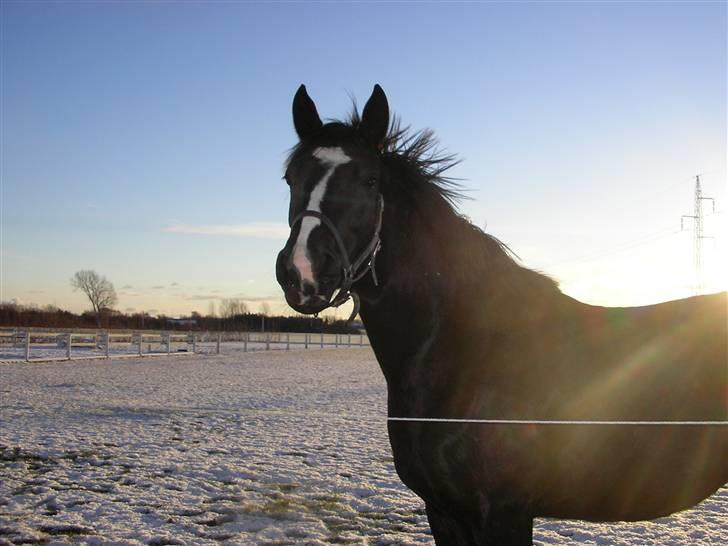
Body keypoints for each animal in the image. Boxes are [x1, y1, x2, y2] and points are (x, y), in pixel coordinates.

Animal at [274, 83, 728, 540]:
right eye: (290, 178)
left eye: (370, 180)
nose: (302, 271)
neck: (465, 352)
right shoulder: (443, 511)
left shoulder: (504, 513)